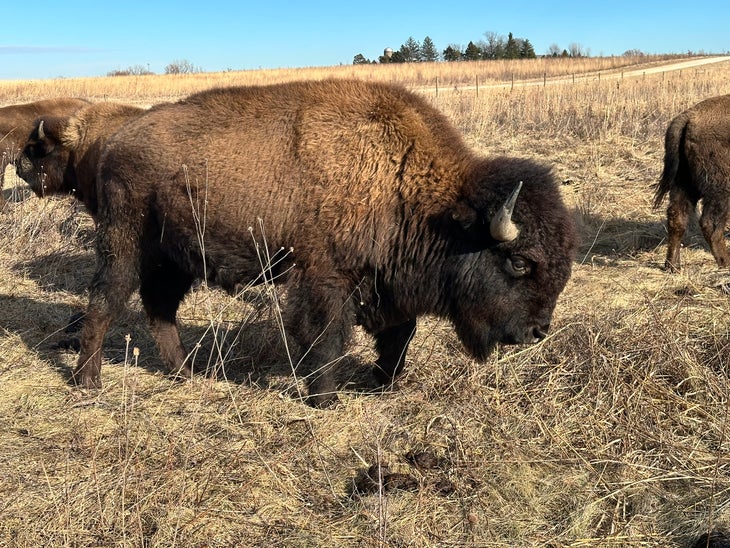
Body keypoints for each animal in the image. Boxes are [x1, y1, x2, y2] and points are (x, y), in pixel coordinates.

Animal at [48, 79, 576, 407]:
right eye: (519, 262)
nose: (538, 332)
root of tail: (116, 139)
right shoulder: (326, 279)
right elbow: (326, 337)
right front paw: (325, 398)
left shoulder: (387, 287)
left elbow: (399, 335)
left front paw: (383, 384)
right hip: (125, 244)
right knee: (106, 301)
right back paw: (88, 381)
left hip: (175, 259)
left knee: (160, 310)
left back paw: (184, 373)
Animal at [654, 94, 730, 271]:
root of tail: (688, 117)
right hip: (721, 187)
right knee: (710, 223)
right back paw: (726, 262)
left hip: (684, 182)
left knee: (677, 216)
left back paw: (673, 266)